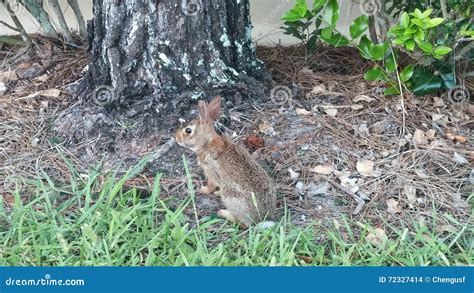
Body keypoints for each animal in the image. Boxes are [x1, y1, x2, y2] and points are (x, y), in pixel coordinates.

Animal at [176, 95, 276, 226]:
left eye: (188, 130)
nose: (176, 138)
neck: (206, 143)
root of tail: (261, 218)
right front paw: (216, 192)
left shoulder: (210, 172)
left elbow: (211, 185)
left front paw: (203, 190)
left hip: (230, 198)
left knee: (241, 224)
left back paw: (222, 213)